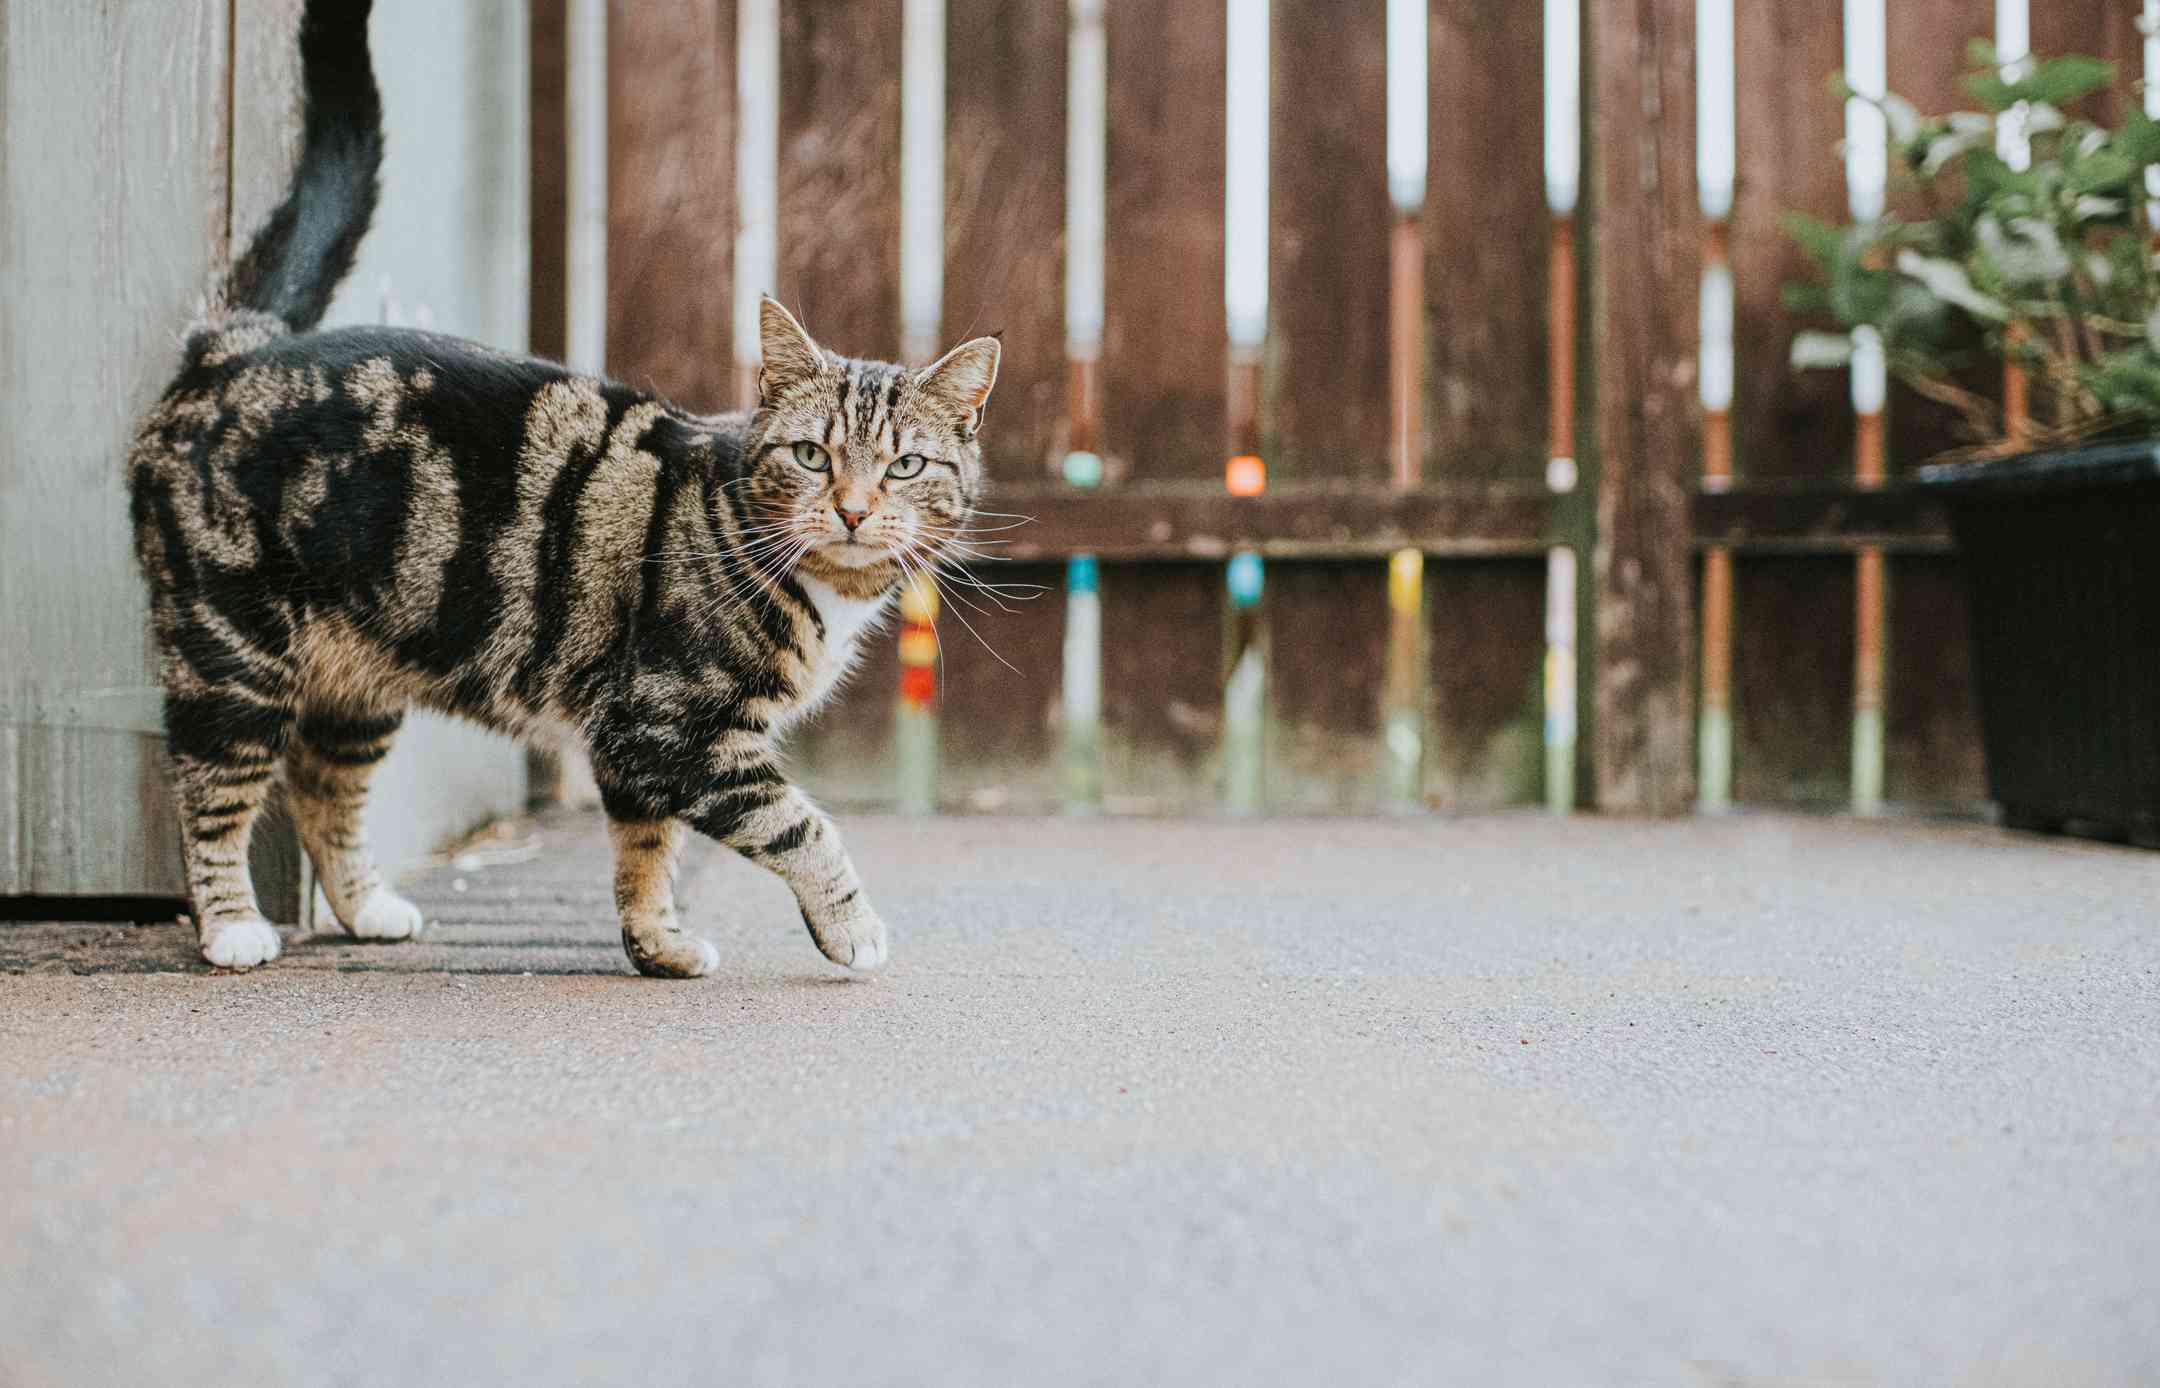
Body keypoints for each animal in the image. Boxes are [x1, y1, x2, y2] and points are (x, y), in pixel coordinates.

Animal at [135, 2, 1002, 975]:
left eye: (905, 466)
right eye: (814, 456)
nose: (852, 508)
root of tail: (231, 349)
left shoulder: (636, 754)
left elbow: (646, 852)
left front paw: (659, 945)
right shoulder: (671, 727)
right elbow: (801, 826)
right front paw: (851, 928)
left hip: (361, 679)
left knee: (326, 788)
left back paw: (367, 909)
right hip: (231, 652)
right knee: (211, 787)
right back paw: (231, 927)